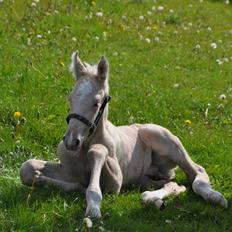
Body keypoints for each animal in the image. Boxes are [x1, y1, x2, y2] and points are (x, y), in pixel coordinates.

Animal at [19, 52, 227, 218]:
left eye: (96, 102)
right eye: (70, 98)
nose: (71, 142)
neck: (85, 144)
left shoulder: (116, 183)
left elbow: (98, 152)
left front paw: (93, 207)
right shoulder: (68, 171)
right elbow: (27, 168)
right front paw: (76, 186)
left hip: (165, 141)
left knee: (197, 172)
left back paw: (216, 197)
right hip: (147, 177)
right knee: (173, 184)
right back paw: (153, 199)